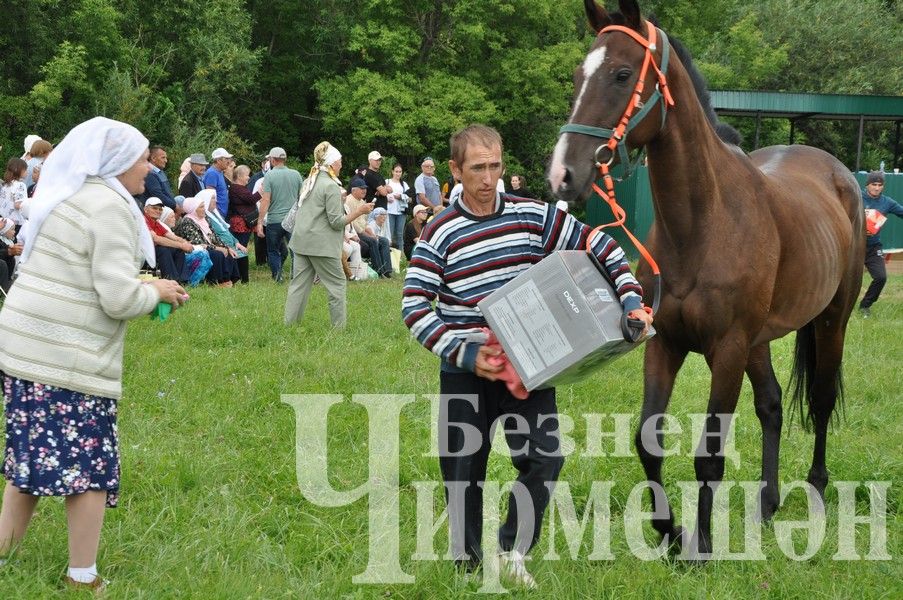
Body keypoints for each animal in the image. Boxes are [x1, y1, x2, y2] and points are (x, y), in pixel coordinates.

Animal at [548, 1, 864, 564]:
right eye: (579, 75)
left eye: (622, 74)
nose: (563, 174)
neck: (704, 223)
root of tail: (839, 174)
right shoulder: (666, 343)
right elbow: (647, 440)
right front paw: (670, 532)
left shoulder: (729, 349)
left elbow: (709, 455)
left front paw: (702, 544)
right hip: (762, 340)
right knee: (772, 405)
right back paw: (766, 504)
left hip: (831, 320)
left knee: (822, 399)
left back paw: (816, 491)